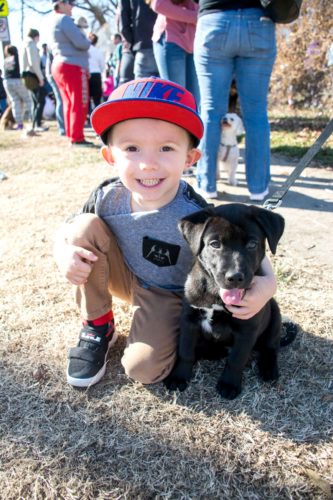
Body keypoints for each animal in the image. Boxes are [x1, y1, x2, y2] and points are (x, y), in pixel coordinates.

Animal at [165, 202, 284, 398]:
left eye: (252, 244)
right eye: (215, 244)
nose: (234, 277)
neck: (215, 294)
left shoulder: (247, 329)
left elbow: (236, 359)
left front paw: (229, 384)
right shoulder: (189, 319)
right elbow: (185, 351)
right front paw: (179, 377)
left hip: (274, 314)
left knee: (271, 347)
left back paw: (268, 368)